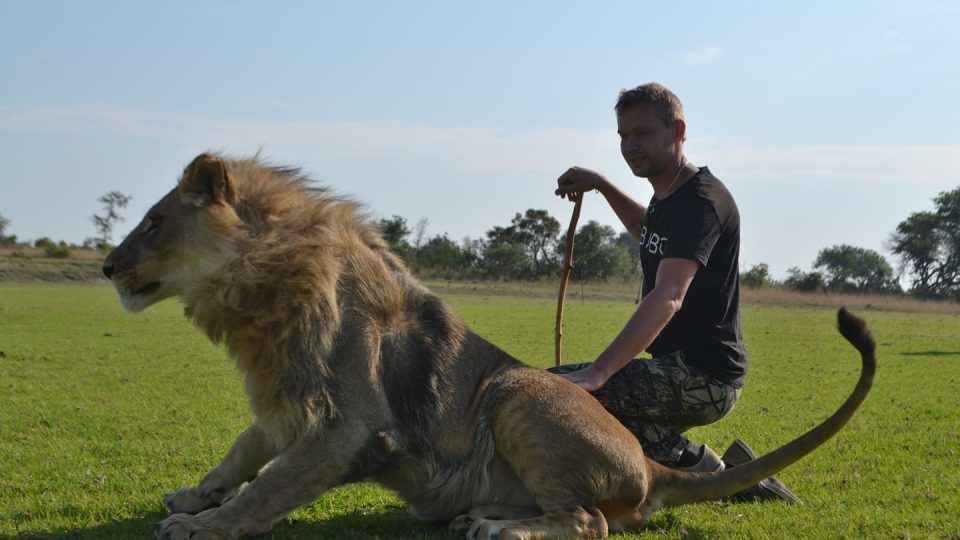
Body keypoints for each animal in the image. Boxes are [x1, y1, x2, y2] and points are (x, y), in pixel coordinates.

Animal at [103, 153, 876, 540]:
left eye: (154, 222)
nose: (107, 267)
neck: (260, 292)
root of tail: (648, 466)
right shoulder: (287, 400)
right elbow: (242, 452)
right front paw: (193, 496)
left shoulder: (346, 427)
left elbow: (269, 487)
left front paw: (203, 527)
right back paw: (481, 516)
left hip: (514, 393)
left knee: (592, 520)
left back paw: (500, 529)